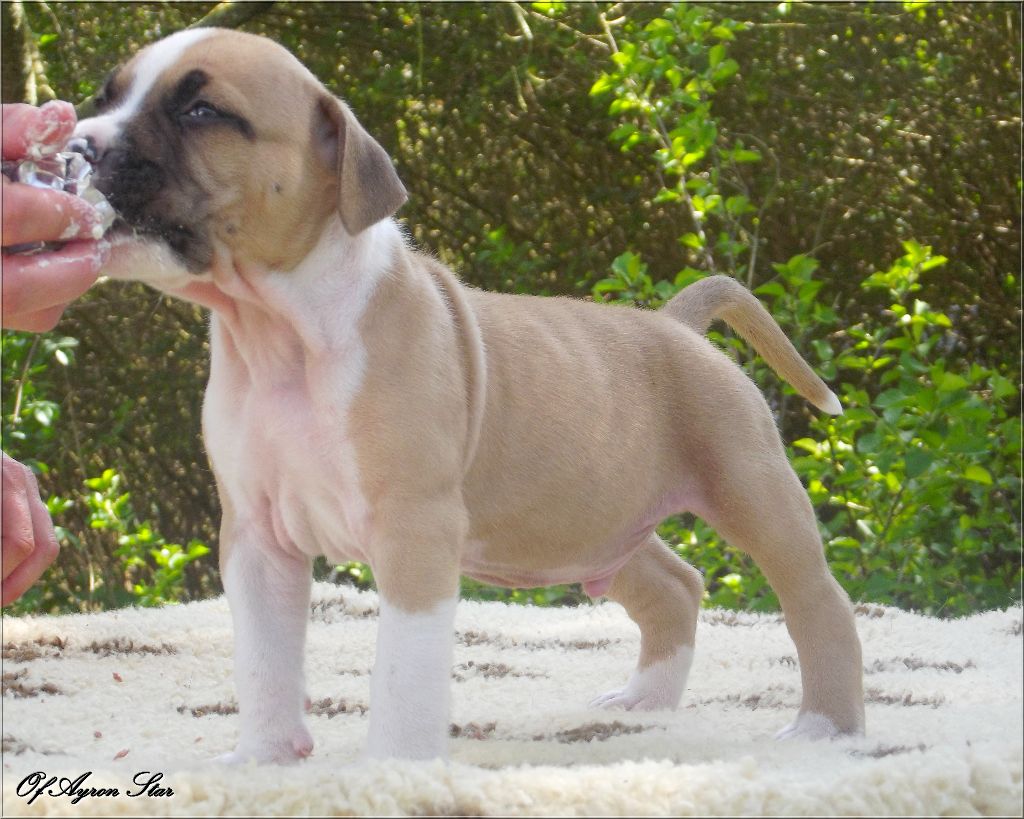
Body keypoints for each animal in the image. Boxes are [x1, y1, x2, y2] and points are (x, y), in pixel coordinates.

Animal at [73, 28, 864, 763]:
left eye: (202, 111)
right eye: (108, 96)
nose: (78, 143)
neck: (279, 331)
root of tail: (675, 324)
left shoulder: (413, 531)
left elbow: (403, 670)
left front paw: (393, 767)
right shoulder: (256, 537)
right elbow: (264, 661)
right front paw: (263, 757)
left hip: (751, 487)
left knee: (817, 601)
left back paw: (825, 726)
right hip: (598, 518)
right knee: (675, 583)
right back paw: (646, 700)